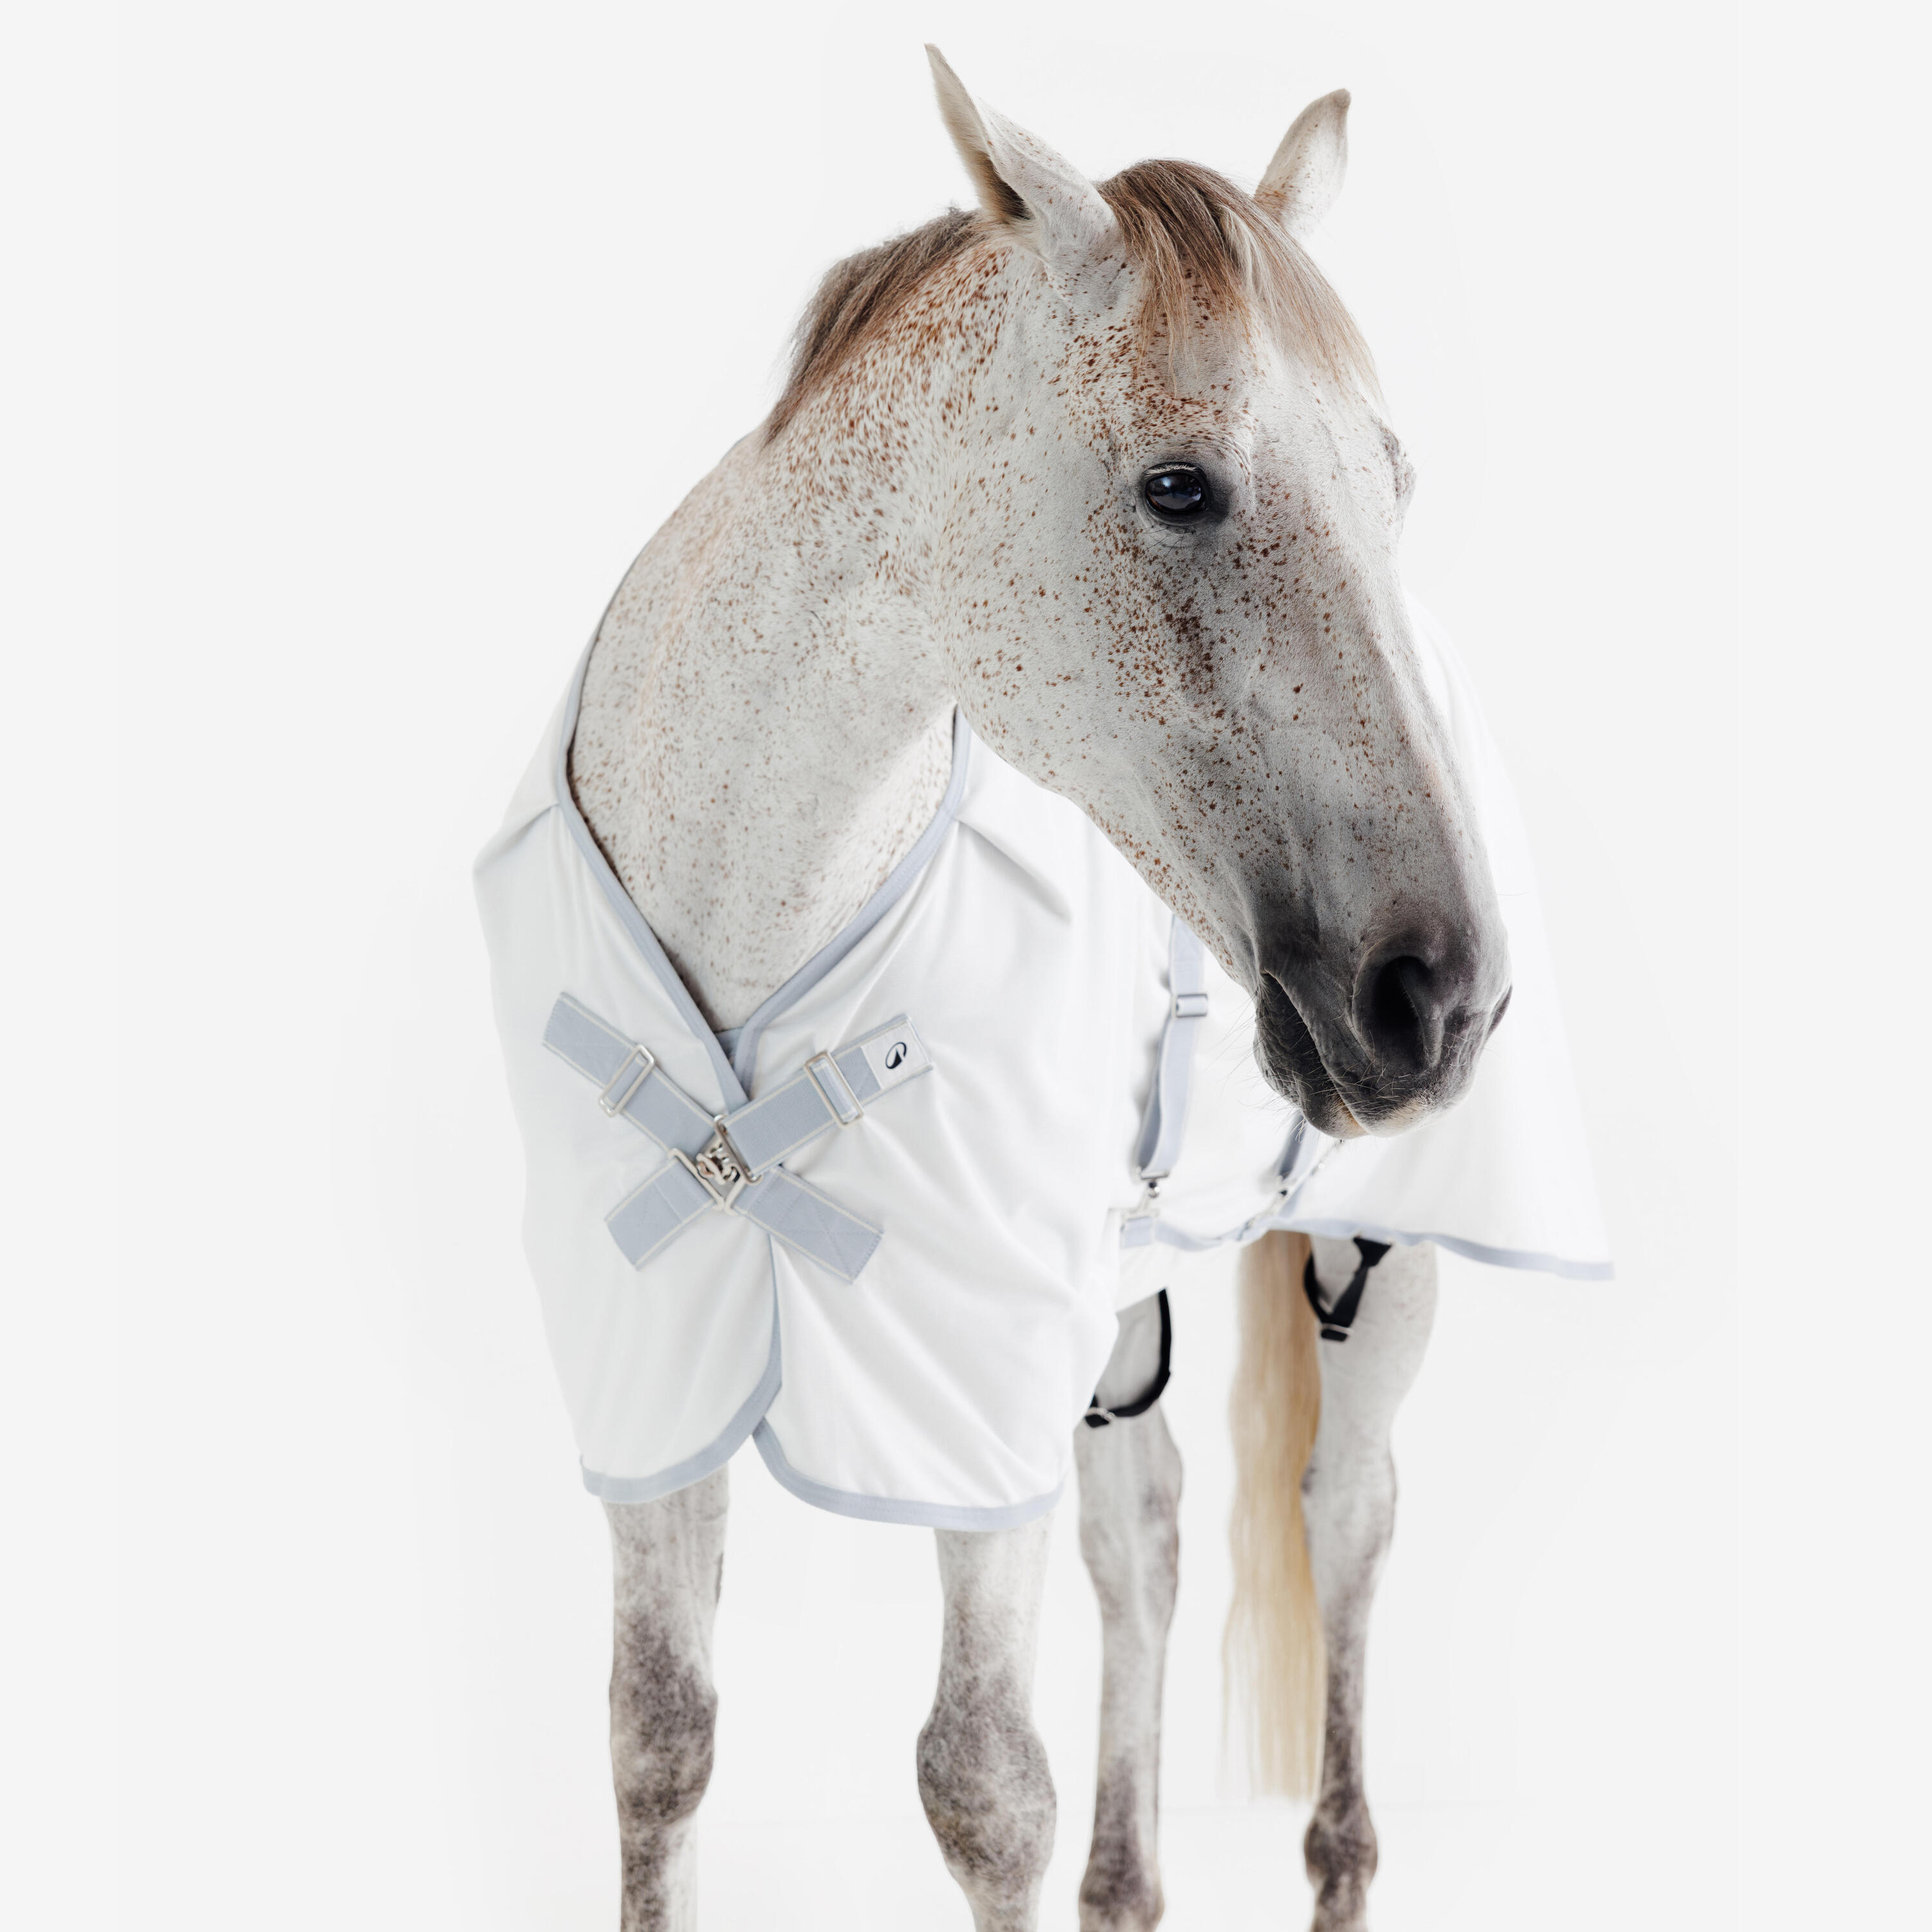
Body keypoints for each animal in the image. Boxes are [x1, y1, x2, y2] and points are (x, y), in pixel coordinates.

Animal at [508, 49, 1513, 1932]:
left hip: (1375, 1258)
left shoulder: (973, 1379)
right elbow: (656, 1733)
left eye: (1393, 481)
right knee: (1151, 1533)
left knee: (1346, 1516)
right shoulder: (647, 1366)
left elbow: (982, 1786)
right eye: (1180, 487)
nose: (1442, 996)